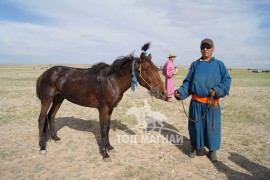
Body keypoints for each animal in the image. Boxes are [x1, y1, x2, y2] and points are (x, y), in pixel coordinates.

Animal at [35, 42, 167, 159]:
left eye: (157, 69)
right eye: (148, 70)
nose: (163, 93)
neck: (112, 81)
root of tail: (44, 74)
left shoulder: (110, 109)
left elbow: (107, 127)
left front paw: (109, 147)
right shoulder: (103, 108)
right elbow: (103, 129)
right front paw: (104, 153)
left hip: (59, 98)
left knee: (51, 116)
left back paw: (55, 138)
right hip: (47, 99)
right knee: (42, 119)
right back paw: (42, 147)